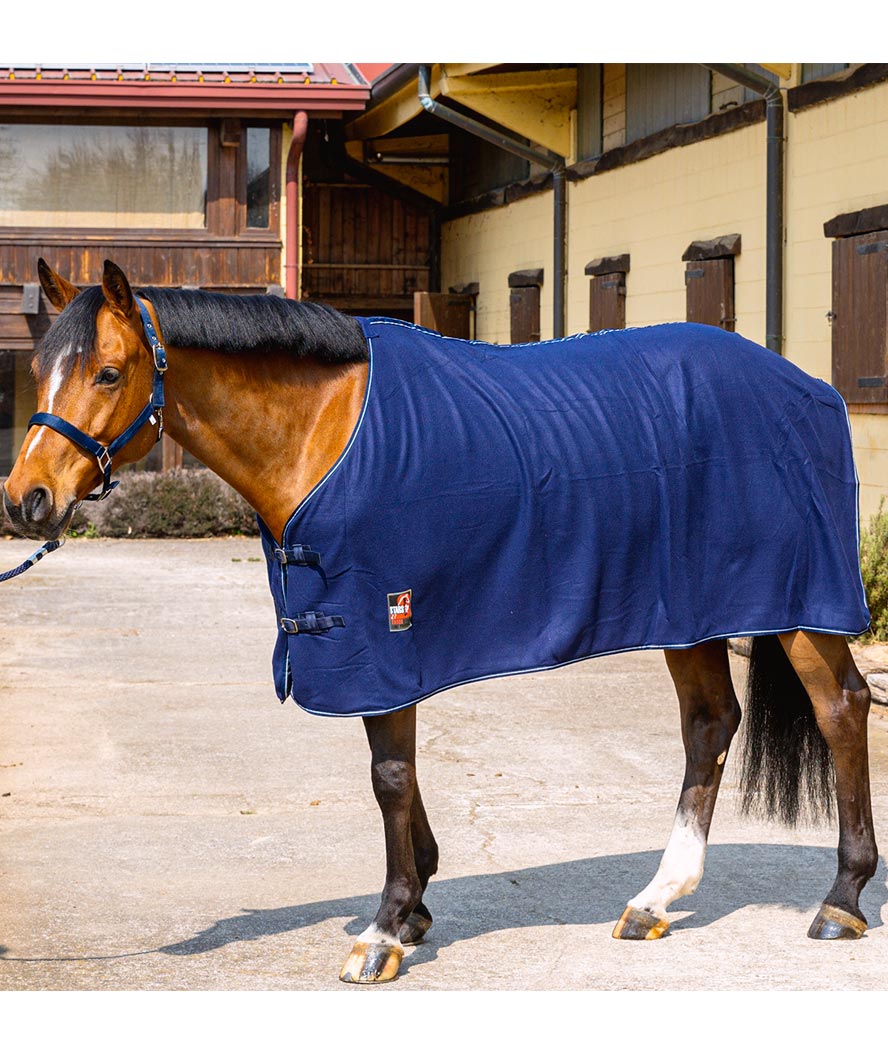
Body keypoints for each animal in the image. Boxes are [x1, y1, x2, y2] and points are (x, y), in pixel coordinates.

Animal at [0, 259, 876, 981]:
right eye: (37, 370)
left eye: (109, 372)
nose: (26, 499)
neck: (327, 432)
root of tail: (809, 385)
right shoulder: (379, 648)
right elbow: (401, 771)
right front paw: (416, 902)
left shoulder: (386, 630)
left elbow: (389, 775)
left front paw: (385, 930)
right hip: (688, 610)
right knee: (710, 723)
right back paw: (656, 898)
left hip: (797, 608)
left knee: (840, 709)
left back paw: (841, 899)